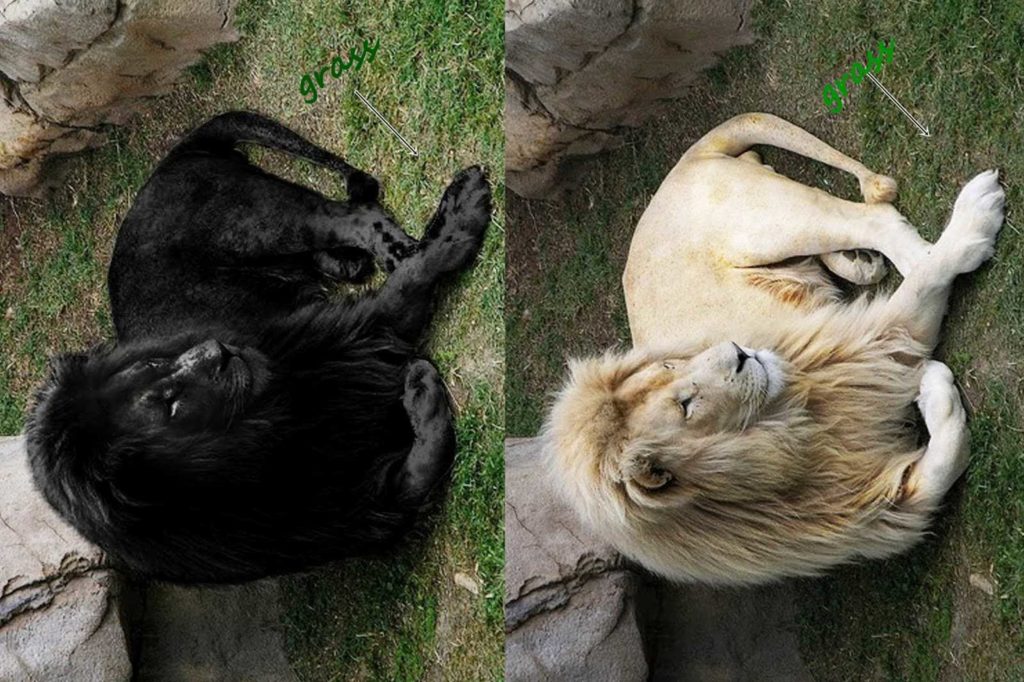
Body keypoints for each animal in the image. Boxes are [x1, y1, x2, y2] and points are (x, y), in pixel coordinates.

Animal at [545, 113, 1004, 585]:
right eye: (685, 405)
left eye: (671, 365)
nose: (739, 353)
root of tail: (681, 167)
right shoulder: (875, 509)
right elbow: (941, 464)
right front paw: (933, 386)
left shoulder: (859, 339)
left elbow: (927, 281)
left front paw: (971, 229)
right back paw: (864, 263)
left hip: (767, 224)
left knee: (875, 219)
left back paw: (953, 222)